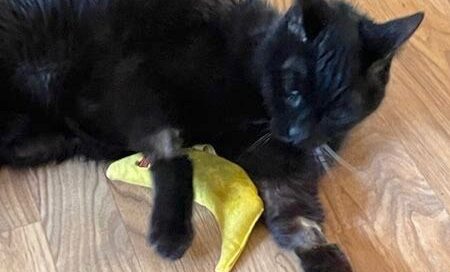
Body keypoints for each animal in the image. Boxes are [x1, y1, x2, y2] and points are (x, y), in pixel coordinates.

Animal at [0, 0, 422, 270]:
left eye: (337, 109)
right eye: (293, 91)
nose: (298, 132)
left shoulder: (286, 174)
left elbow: (299, 220)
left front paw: (324, 257)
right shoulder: (132, 80)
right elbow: (170, 152)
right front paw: (171, 231)